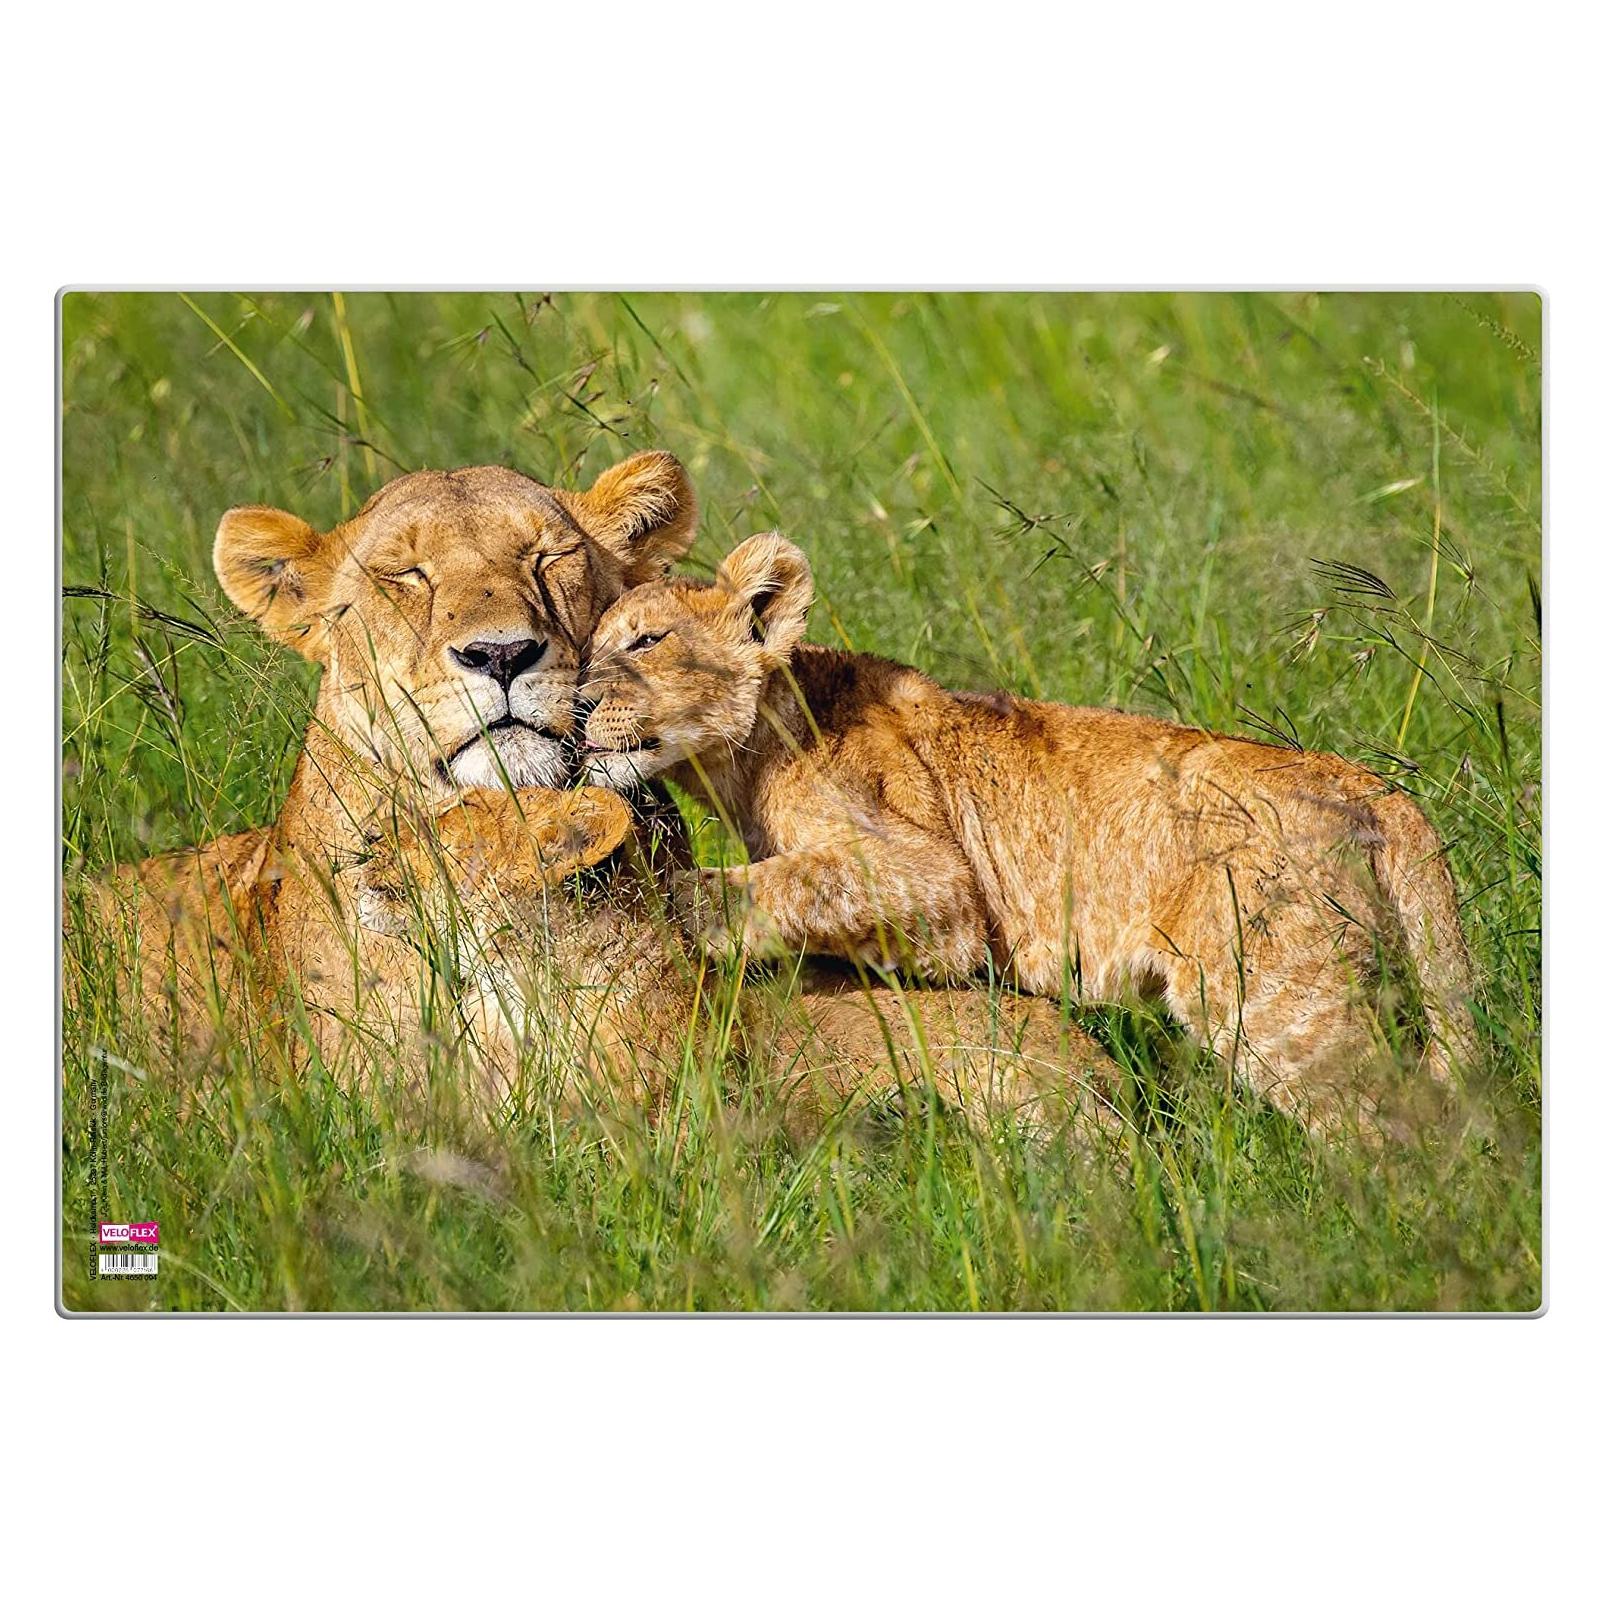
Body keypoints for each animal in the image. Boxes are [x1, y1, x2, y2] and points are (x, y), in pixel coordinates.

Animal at [577, 532, 1479, 1137]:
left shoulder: (938, 886)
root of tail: (1371, 786)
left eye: (647, 641)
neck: (741, 758)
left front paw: (676, 900)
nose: (577, 707)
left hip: (1277, 1002)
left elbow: (789, 882)